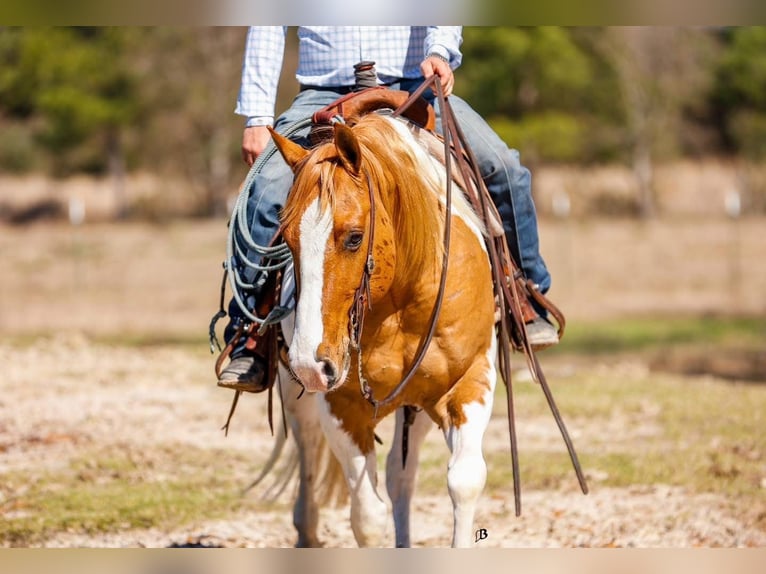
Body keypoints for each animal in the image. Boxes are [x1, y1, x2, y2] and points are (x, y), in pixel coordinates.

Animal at [270, 109, 498, 548]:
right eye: (286, 239)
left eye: (355, 237)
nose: (311, 362)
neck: (400, 301)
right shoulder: (340, 405)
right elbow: (367, 516)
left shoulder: (469, 380)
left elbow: (464, 482)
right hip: (295, 390)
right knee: (307, 444)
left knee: (400, 475)